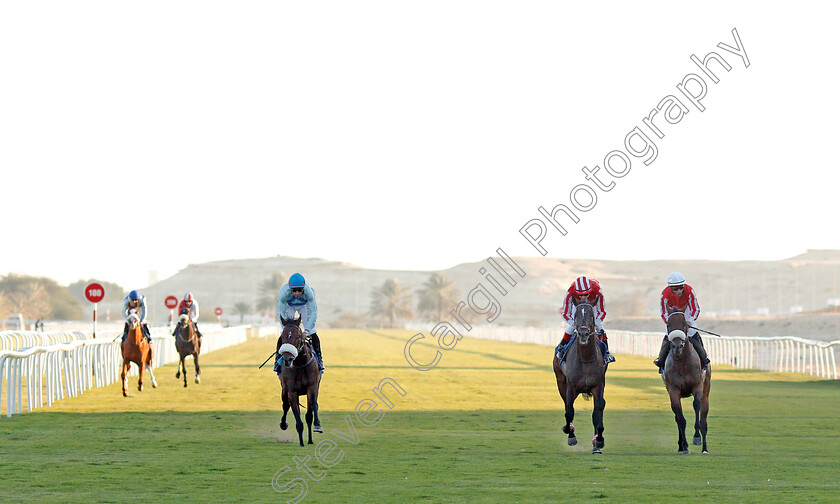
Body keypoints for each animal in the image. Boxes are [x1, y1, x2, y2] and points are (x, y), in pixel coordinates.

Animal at [278, 316, 324, 444]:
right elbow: (297, 418)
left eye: (298, 336)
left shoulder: (312, 387)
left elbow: (313, 407)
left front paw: (317, 426)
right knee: (285, 405)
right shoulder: (292, 392)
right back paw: (283, 424)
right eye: (282, 336)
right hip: (284, 390)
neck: (300, 363)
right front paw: (301, 441)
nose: (287, 359)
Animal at [556, 302, 608, 454]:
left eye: (591, 315)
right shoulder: (570, 387)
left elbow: (598, 410)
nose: (584, 333)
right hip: (560, 382)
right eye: (576, 315)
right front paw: (569, 433)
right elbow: (569, 412)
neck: (585, 358)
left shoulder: (598, 386)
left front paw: (599, 441)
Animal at [664, 308, 708, 452]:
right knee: (677, 417)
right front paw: (684, 446)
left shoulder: (697, 386)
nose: (677, 346)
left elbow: (696, 405)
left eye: (684, 324)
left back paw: (705, 448)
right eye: (668, 325)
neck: (682, 362)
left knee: (704, 420)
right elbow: (680, 418)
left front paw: (696, 437)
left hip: (706, 392)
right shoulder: (673, 391)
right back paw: (681, 446)